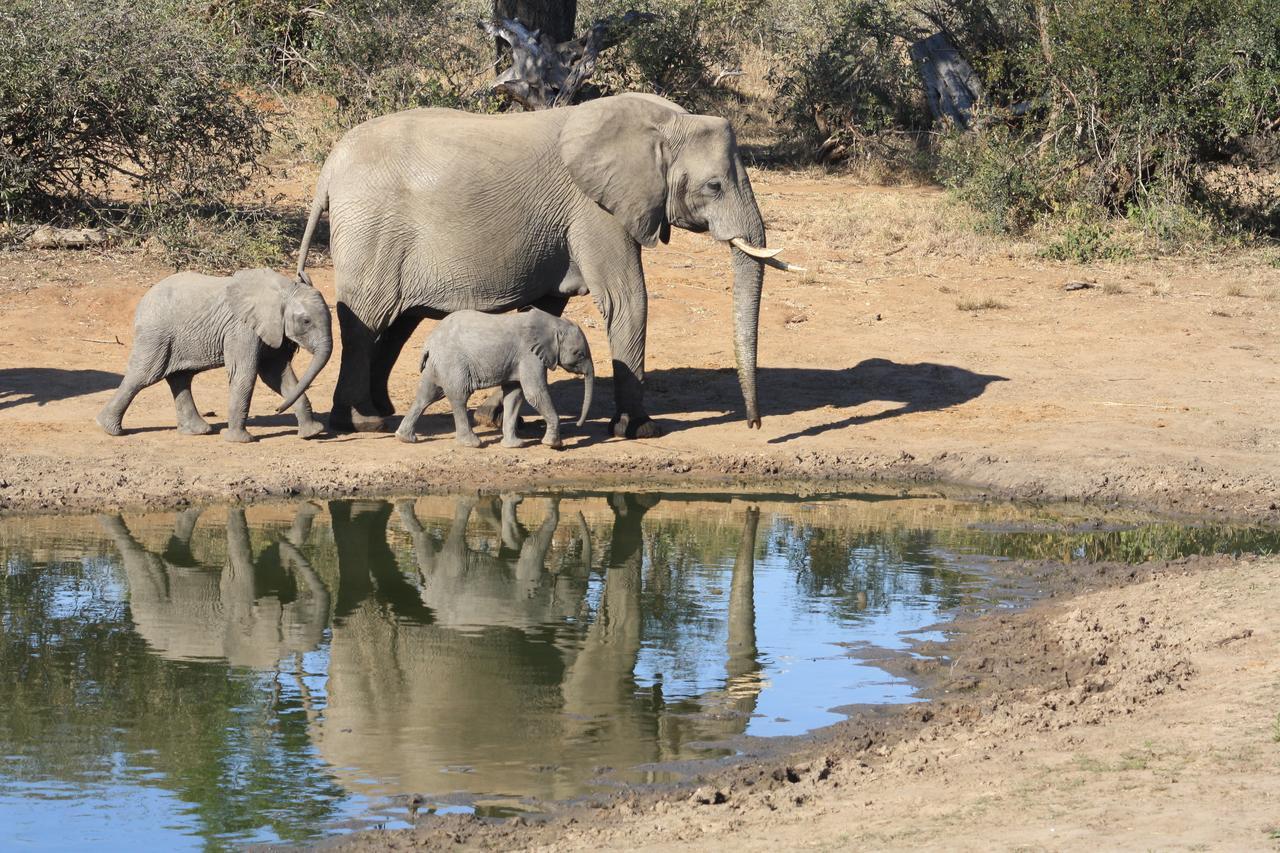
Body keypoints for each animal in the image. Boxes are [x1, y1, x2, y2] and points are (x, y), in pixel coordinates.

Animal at [96, 266, 332, 440]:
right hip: (156, 333)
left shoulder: (272, 330)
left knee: (180, 378)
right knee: (144, 375)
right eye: (306, 321)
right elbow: (245, 374)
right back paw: (109, 429)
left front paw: (312, 433)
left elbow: (279, 376)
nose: (276, 410)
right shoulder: (241, 329)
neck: (285, 290)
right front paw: (239, 440)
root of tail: (143, 299)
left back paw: (198, 431)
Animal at [295, 94, 788, 432]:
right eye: (714, 187)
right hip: (372, 230)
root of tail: (328, 170)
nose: (754, 425)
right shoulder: (594, 210)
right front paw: (639, 429)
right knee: (366, 321)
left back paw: (379, 411)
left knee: (397, 324)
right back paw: (360, 422)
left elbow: (545, 308)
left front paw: (494, 415)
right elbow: (627, 301)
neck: (661, 121)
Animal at [396, 307, 591, 450]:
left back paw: (405, 438)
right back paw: (472, 444)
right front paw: (554, 445)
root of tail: (429, 342)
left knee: (426, 396)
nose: (578, 425)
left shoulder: (518, 360)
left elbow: (514, 396)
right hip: (453, 362)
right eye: (579, 354)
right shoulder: (529, 356)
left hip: (436, 364)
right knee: (459, 397)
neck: (553, 322)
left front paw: (514, 446)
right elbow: (534, 394)